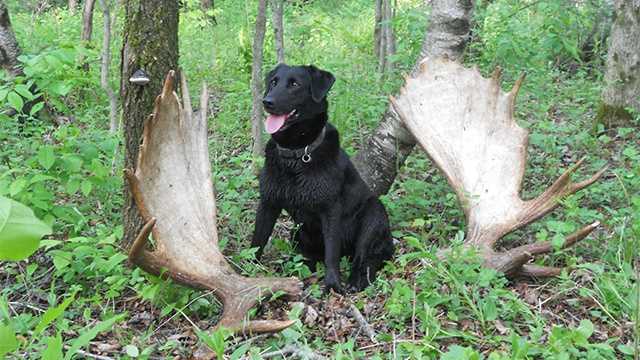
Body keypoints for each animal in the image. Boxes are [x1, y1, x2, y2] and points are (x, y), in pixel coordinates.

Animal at [251, 64, 396, 292]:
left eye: (294, 84)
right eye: (273, 82)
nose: (267, 102)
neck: (297, 155)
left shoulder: (330, 209)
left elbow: (331, 252)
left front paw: (333, 284)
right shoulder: (268, 203)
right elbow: (257, 241)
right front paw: (245, 269)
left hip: (373, 214)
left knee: (365, 258)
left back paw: (357, 279)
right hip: (297, 233)